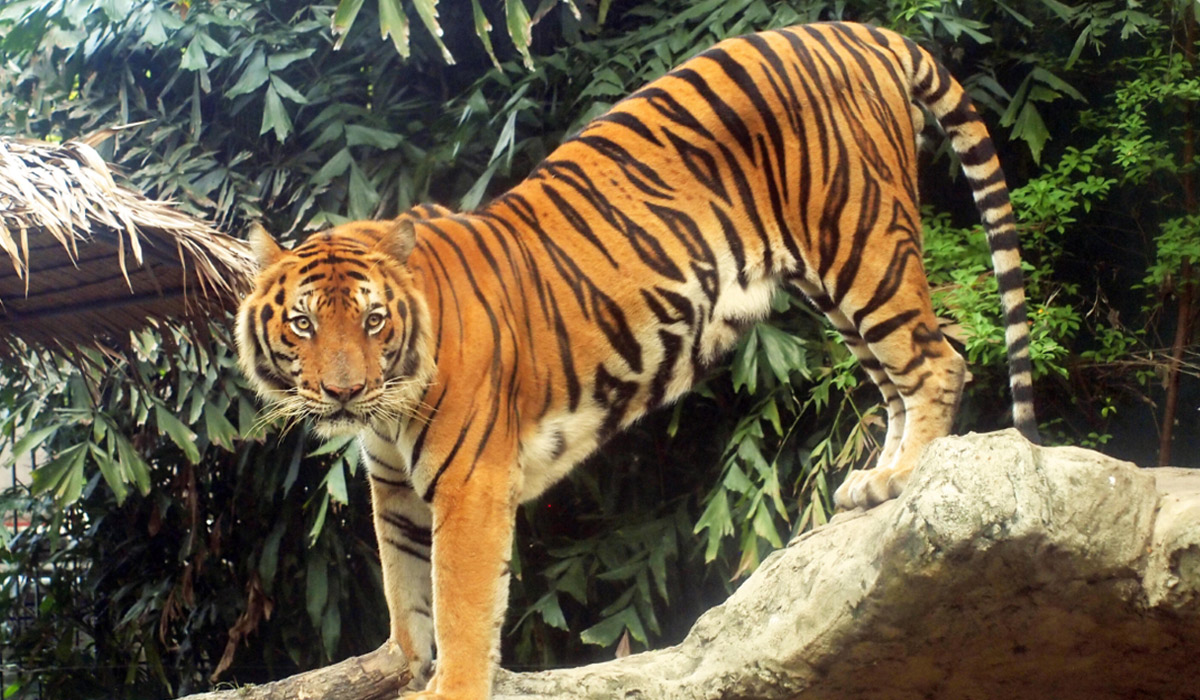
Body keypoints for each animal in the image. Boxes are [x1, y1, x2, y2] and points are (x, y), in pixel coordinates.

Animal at [236, 21, 1041, 700]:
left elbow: (458, 602)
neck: (390, 403)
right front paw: (399, 663)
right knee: (895, 380)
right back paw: (872, 485)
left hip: (860, 240)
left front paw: (449, 686)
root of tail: (860, 30)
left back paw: (904, 480)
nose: (345, 393)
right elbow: (405, 587)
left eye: (373, 321)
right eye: (304, 324)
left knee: (938, 359)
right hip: (834, 286)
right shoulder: (395, 486)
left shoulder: (470, 485)